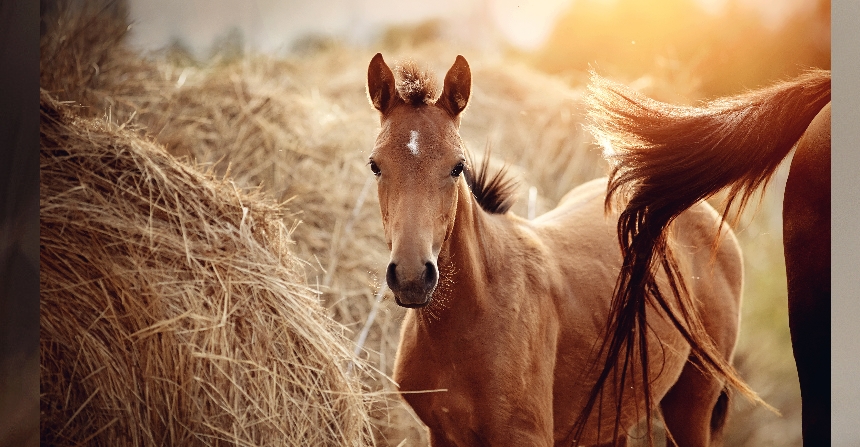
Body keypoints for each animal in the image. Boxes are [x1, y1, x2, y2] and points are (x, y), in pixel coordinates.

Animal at [366, 54, 744, 446]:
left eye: (458, 166)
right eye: (375, 165)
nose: (411, 276)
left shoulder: (525, 436)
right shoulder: (440, 433)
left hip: (691, 404)